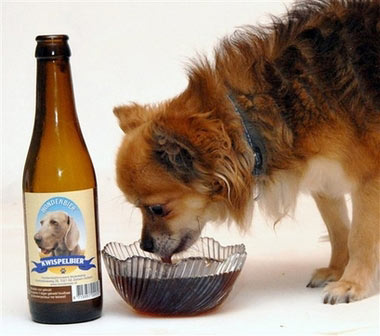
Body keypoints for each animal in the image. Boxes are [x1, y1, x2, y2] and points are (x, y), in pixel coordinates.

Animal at [113, 0, 380, 304]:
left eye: (157, 209)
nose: (145, 246)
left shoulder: (369, 182)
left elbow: (359, 236)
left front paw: (352, 282)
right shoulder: (323, 180)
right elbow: (338, 230)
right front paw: (336, 270)